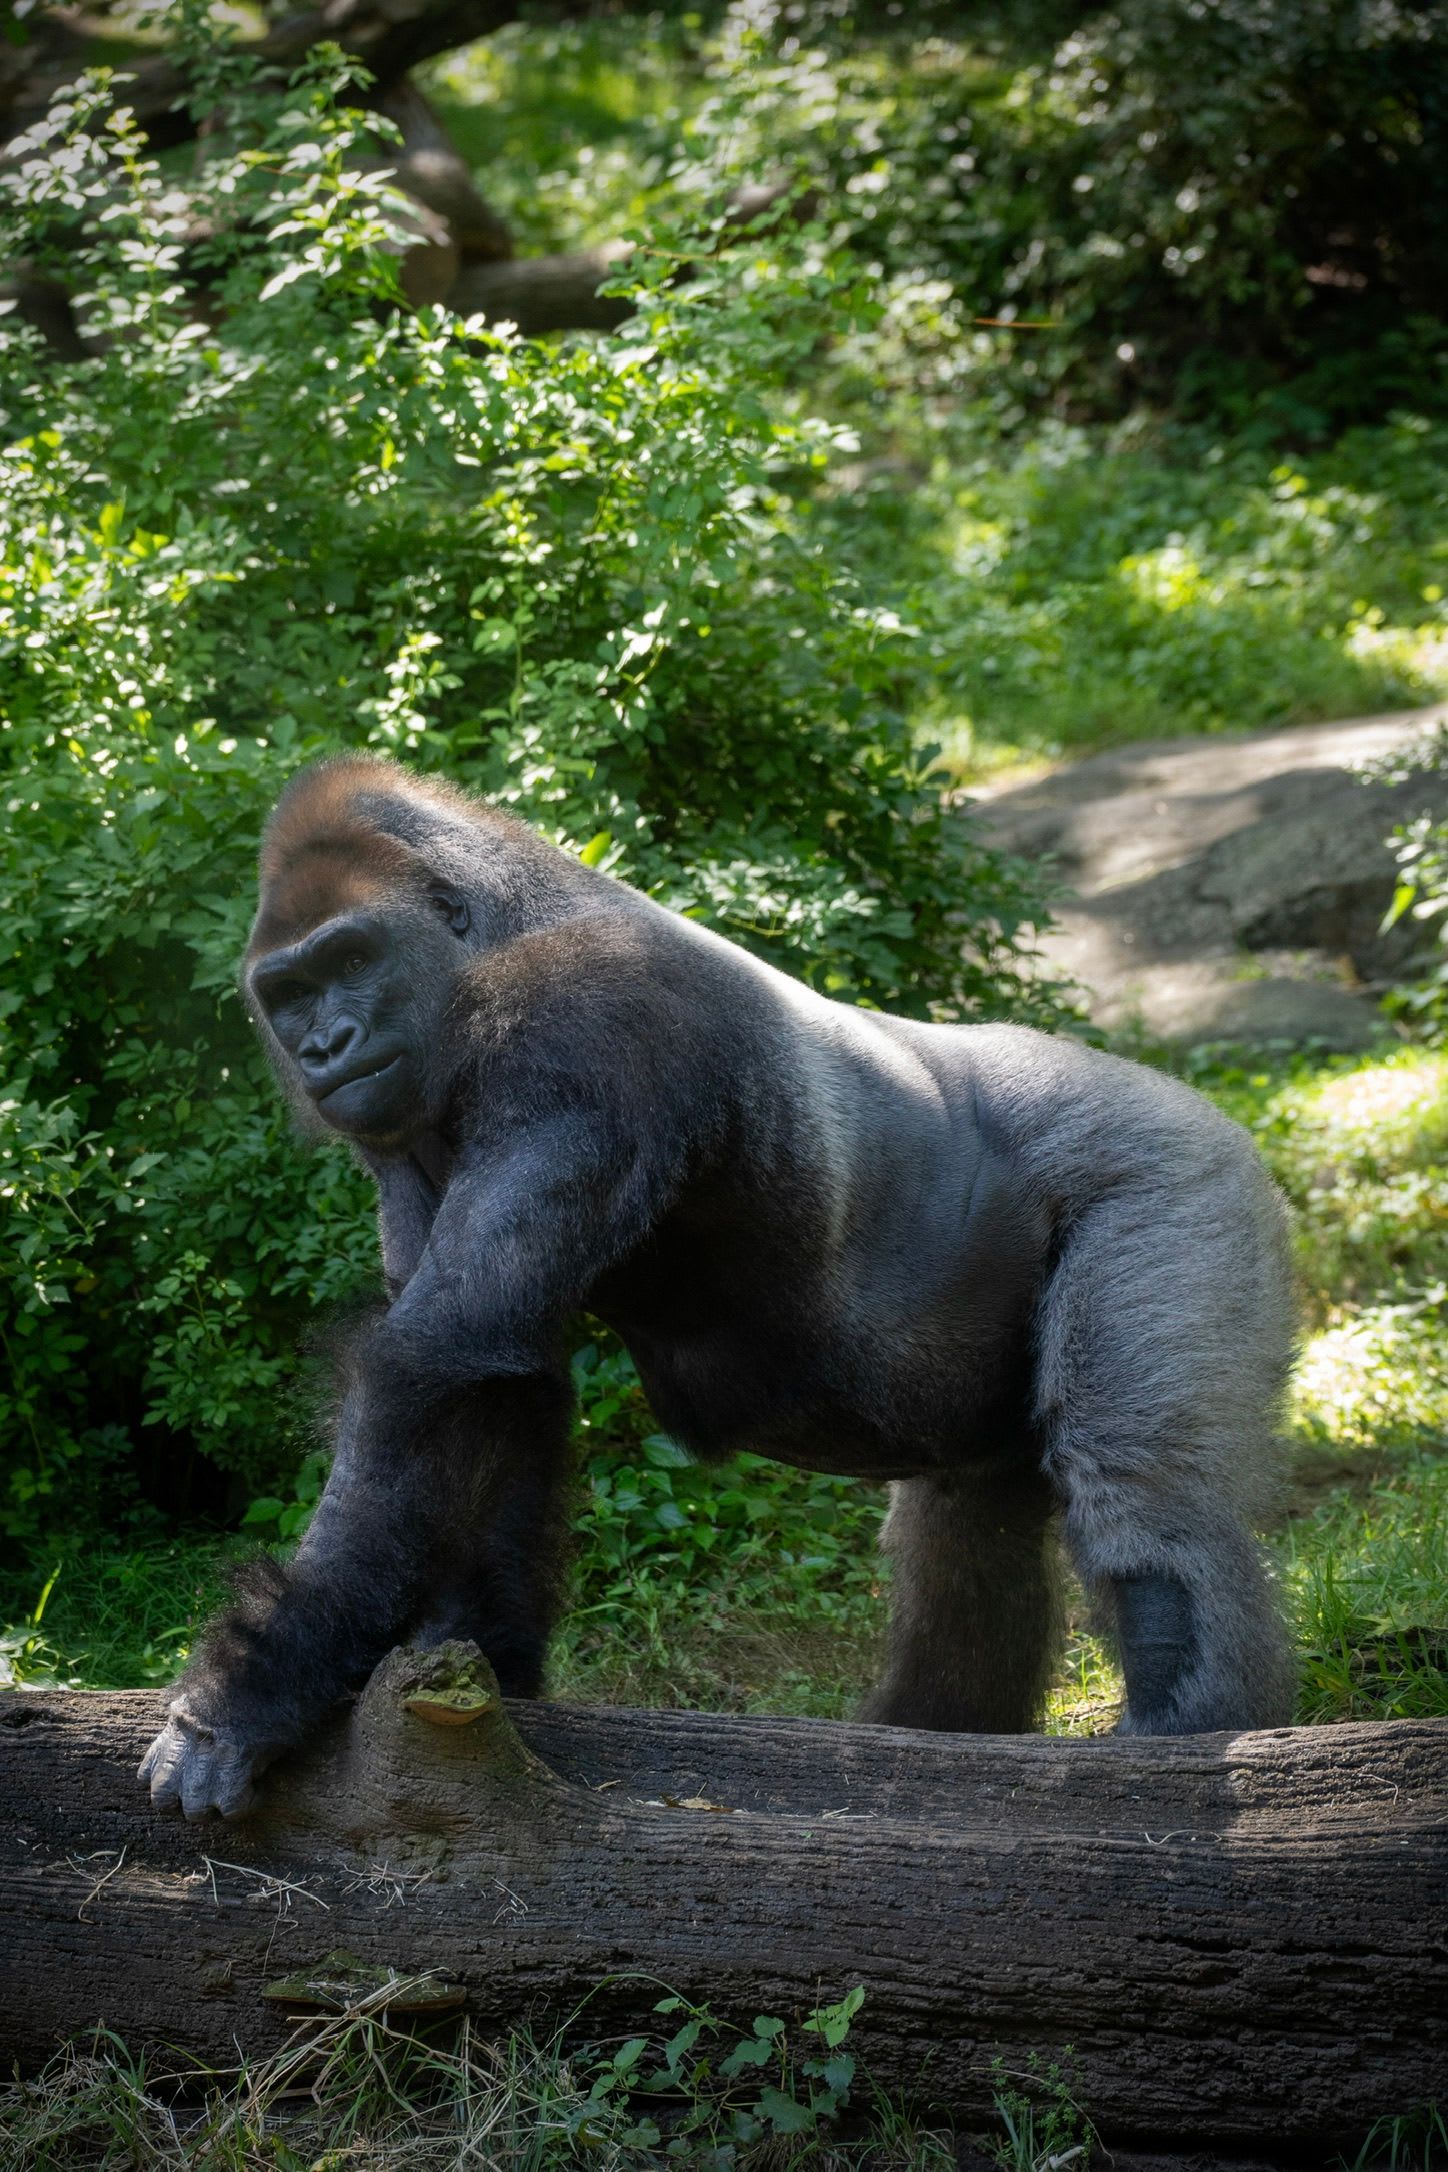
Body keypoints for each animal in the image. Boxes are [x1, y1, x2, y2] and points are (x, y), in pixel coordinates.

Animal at [138, 755, 1297, 1818]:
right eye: (289, 993)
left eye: (351, 958)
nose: (325, 1044)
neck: (491, 940)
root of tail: (1200, 1109)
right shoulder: (405, 1132)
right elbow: (497, 1380)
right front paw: (481, 1667)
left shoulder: (586, 1029)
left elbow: (434, 1366)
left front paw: (244, 1701)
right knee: (965, 1548)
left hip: (1178, 1176)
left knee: (1147, 1498)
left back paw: (1182, 1744)